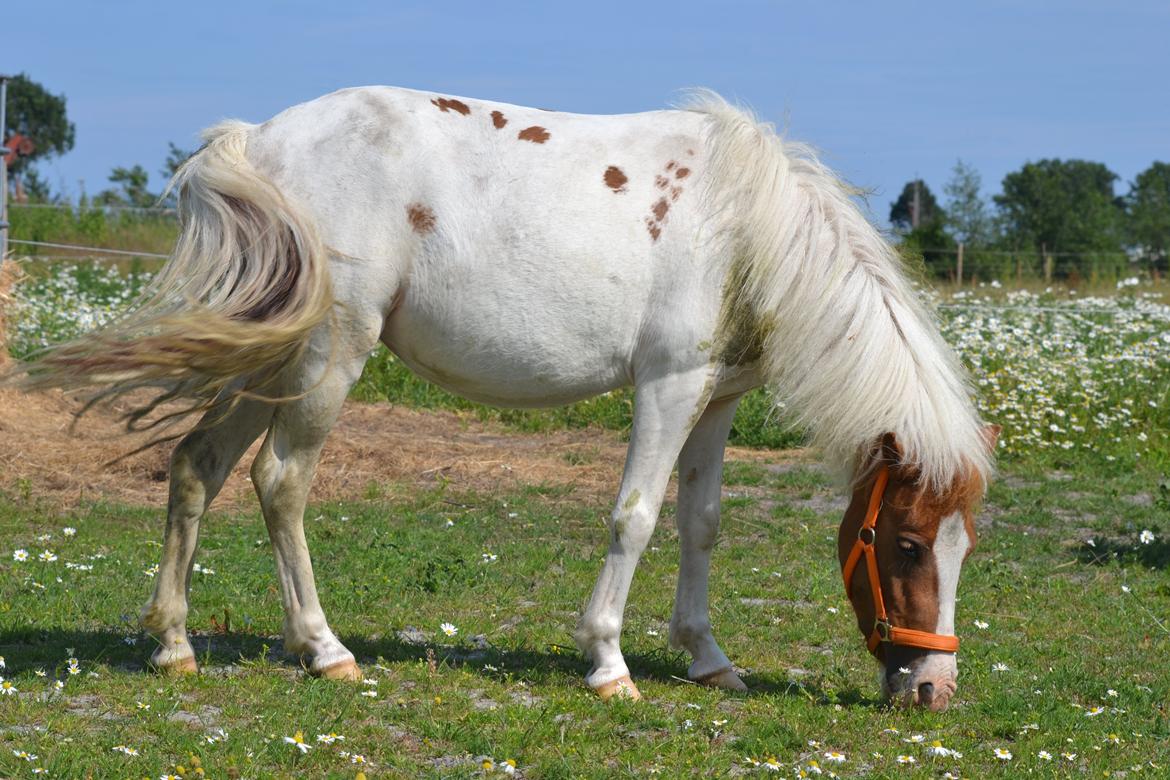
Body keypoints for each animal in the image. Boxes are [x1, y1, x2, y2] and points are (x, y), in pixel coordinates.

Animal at [20, 87, 996, 715]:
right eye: (907, 544)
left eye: (962, 547)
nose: (933, 691)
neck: (747, 228)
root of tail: (256, 140)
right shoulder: (668, 386)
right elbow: (636, 516)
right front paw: (608, 662)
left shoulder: (715, 399)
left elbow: (702, 522)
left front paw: (709, 659)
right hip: (330, 356)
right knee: (280, 483)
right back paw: (325, 650)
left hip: (274, 357)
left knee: (197, 467)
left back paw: (174, 645)